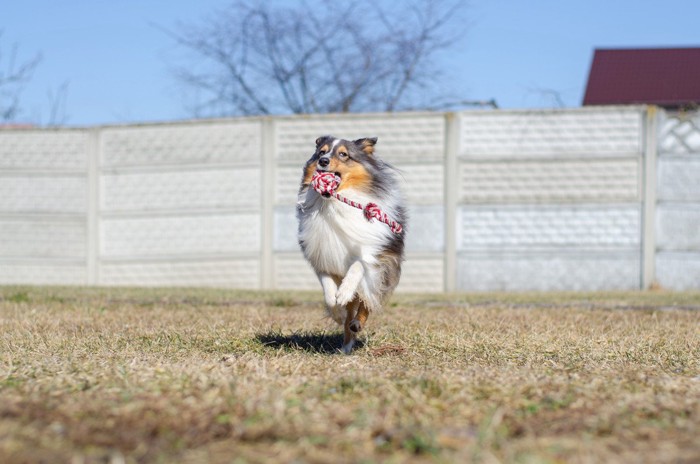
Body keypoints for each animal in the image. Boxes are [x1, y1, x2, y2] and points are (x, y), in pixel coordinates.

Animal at [294, 136, 404, 354]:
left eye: (343, 154)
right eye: (322, 152)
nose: (323, 161)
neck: (335, 205)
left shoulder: (374, 253)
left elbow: (358, 265)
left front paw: (344, 291)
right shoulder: (322, 255)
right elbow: (329, 291)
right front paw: (337, 309)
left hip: (383, 273)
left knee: (366, 304)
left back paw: (357, 323)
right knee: (350, 317)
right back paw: (346, 345)